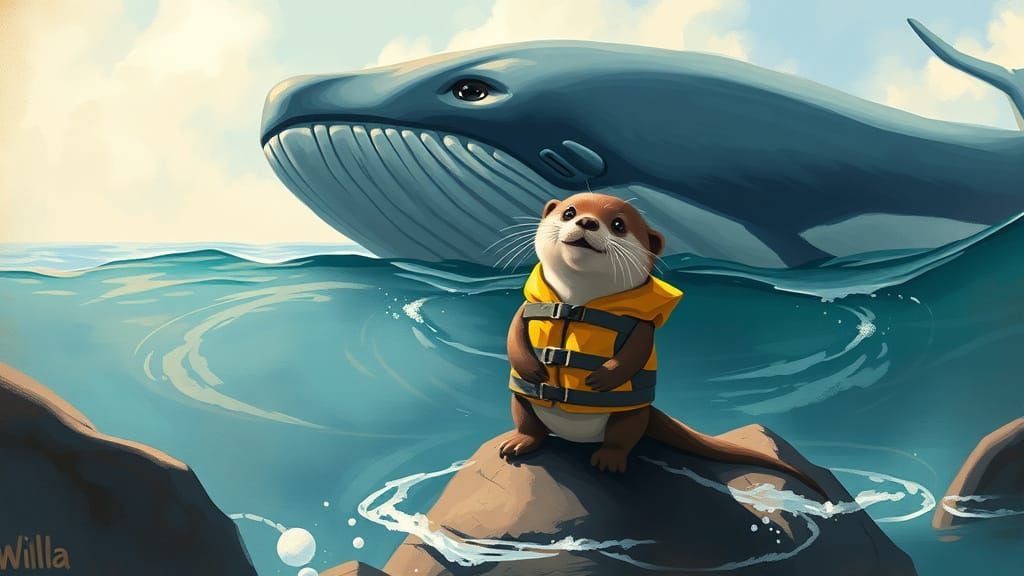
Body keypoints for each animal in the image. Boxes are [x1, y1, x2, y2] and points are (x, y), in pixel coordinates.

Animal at [501, 192, 827, 498]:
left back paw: (609, 460)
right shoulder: (528, 305)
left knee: (623, 437)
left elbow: (637, 350)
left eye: (618, 224)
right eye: (570, 212)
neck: (577, 302)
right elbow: (514, 332)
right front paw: (531, 368)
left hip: (630, 415)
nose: (587, 222)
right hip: (522, 401)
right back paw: (517, 442)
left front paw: (603, 378)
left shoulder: (642, 325)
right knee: (528, 422)